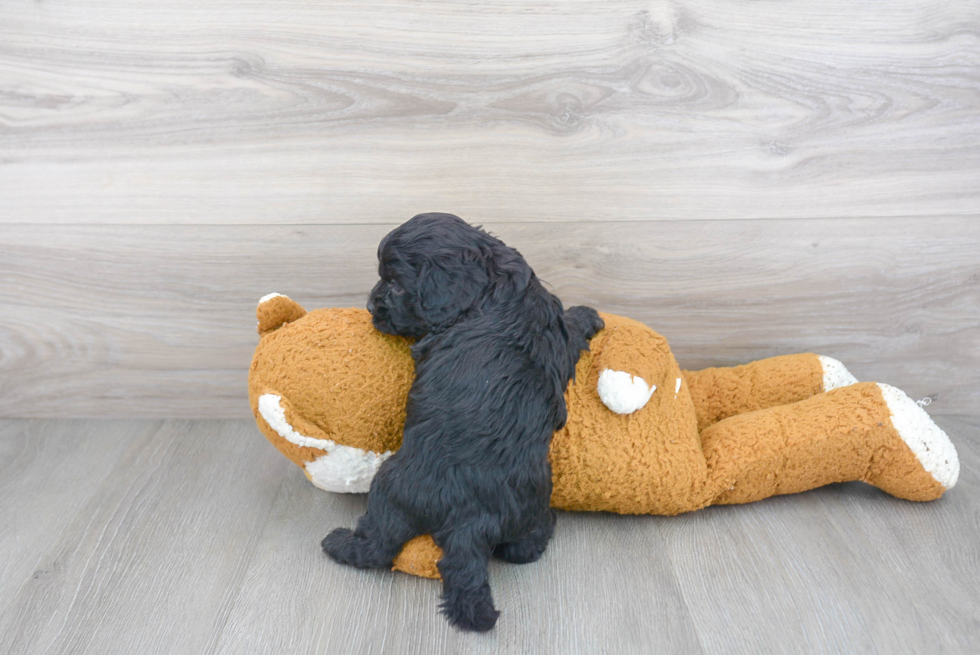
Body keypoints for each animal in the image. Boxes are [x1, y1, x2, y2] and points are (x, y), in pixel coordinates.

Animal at [322, 214, 600, 632]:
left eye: (394, 283)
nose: (370, 305)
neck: (491, 285)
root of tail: (473, 520)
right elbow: (569, 325)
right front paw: (589, 316)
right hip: (529, 503)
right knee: (523, 548)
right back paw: (546, 526)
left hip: (390, 490)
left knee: (377, 546)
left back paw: (338, 544)